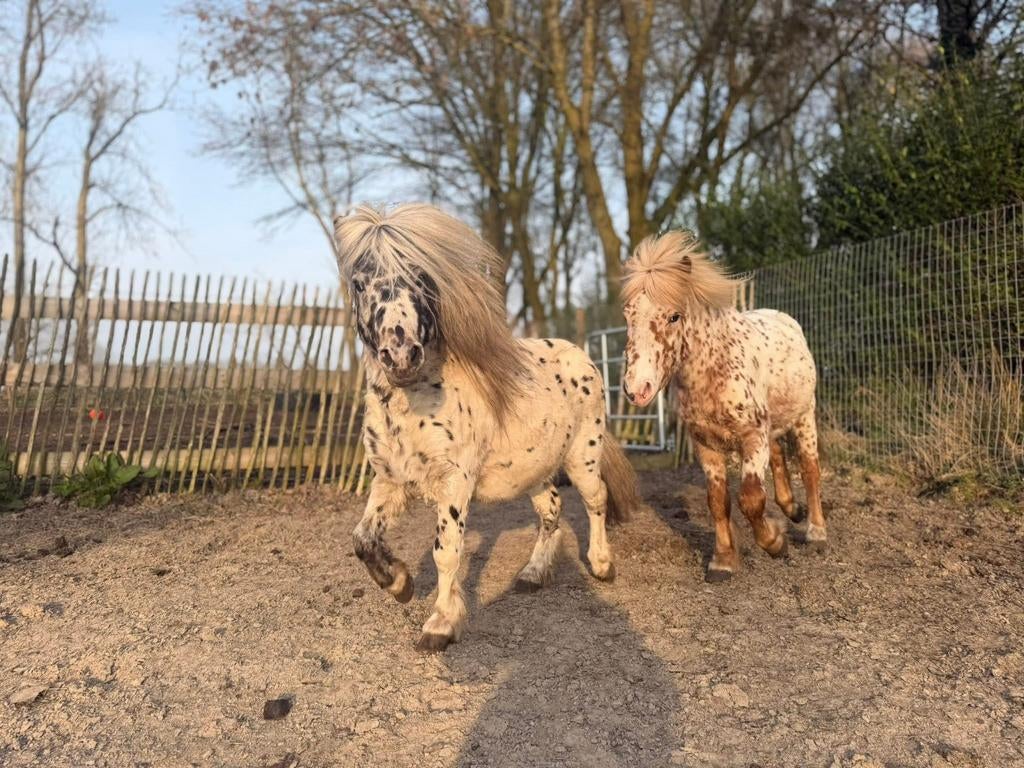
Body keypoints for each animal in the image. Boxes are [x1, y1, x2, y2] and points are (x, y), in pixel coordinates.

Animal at [333, 203, 641, 651]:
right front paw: (399, 583)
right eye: (358, 284)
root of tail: (582, 356)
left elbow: (446, 551)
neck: (413, 401)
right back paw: (532, 575)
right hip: (535, 469)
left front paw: (441, 624)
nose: (401, 354)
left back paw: (602, 565)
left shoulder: (454, 482)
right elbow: (361, 539)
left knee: (595, 500)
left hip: (583, 455)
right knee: (552, 510)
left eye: (422, 278)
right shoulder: (390, 480)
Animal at [620, 231, 826, 583]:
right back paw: (791, 508)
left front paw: (775, 542)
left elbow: (751, 499)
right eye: (627, 315)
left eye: (674, 316)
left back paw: (816, 531)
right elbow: (717, 501)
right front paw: (723, 561)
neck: (715, 370)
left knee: (810, 469)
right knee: (778, 456)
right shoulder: (706, 445)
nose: (637, 389)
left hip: (803, 417)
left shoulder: (752, 437)